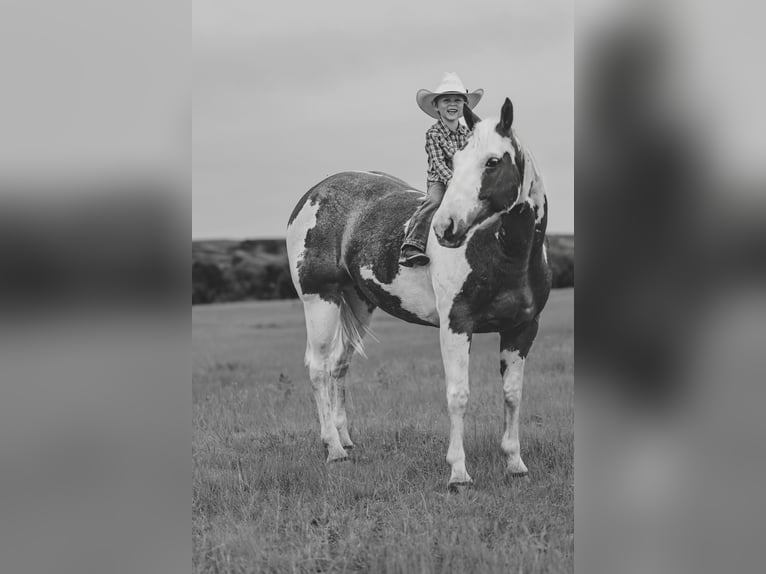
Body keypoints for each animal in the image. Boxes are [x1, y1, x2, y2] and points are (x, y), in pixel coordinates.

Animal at [286, 98, 551, 490]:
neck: (505, 252)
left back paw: (345, 440)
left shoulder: (522, 328)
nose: (445, 227)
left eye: (492, 162)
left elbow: (512, 394)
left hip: (358, 304)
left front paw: (515, 463)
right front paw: (458, 473)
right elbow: (458, 395)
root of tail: (313, 193)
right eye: (455, 161)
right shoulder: (456, 324)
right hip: (321, 300)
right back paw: (333, 449)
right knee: (318, 368)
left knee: (339, 365)